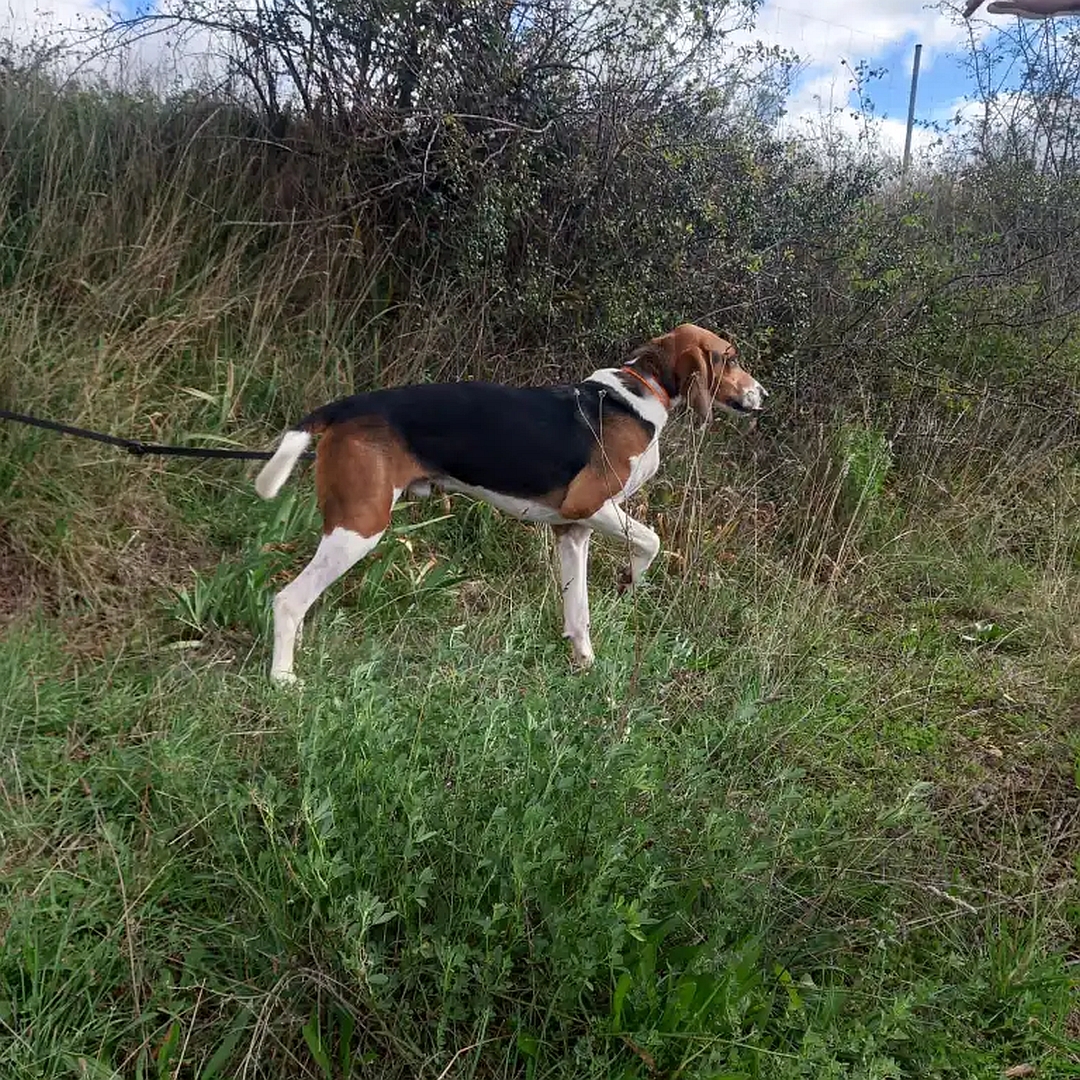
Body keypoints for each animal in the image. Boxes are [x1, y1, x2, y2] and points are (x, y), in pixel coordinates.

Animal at [254, 324, 768, 686]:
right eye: (730, 358)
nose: (764, 394)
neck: (642, 391)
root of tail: (345, 407)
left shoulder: (574, 530)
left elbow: (579, 612)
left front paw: (585, 665)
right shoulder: (589, 505)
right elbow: (652, 540)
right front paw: (631, 580)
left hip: (348, 522)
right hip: (361, 525)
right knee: (288, 600)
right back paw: (283, 678)